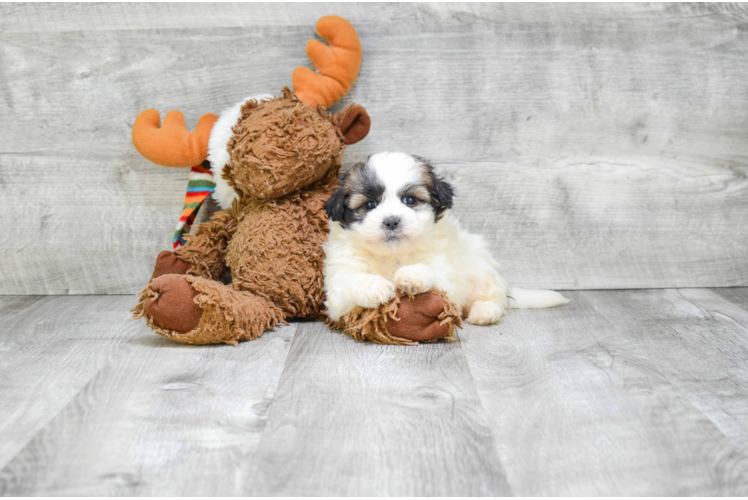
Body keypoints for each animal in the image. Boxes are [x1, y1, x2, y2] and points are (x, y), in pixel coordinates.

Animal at [322, 152, 568, 324]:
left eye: (410, 200)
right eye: (370, 204)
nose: (391, 221)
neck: (394, 256)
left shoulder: (447, 276)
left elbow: (435, 275)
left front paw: (412, 275)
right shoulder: (337, 291)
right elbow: (348, 282)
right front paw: (374, 286)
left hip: (481, 265)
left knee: (494, 296)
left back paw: (484, 311)